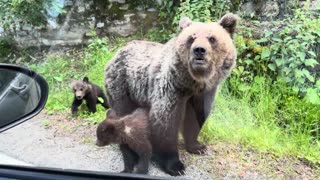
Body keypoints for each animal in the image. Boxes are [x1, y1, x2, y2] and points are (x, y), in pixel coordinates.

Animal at [104, 13, 239, 176]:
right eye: (191, 38)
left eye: (212, 38)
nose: (199, 50)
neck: (192, 83)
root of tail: (117, 51)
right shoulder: (172, 89)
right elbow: (166, 121)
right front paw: (175, 165)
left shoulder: (202, 95)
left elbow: (196, 118)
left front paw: (198, 146)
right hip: (123, 85)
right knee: (123, 113)